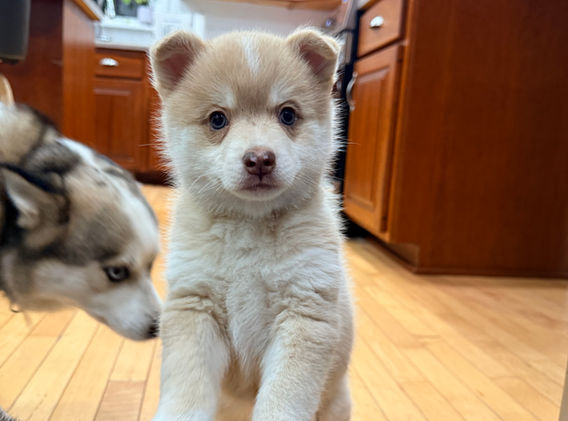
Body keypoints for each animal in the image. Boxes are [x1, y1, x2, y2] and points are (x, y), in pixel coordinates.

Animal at [150, 28, 354, 421]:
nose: (260, 159)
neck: (250, 225)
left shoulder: (303, 312)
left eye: (287, 114)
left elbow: (284, 399)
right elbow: (187, 389)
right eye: (217, 119)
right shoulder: (195, 306)